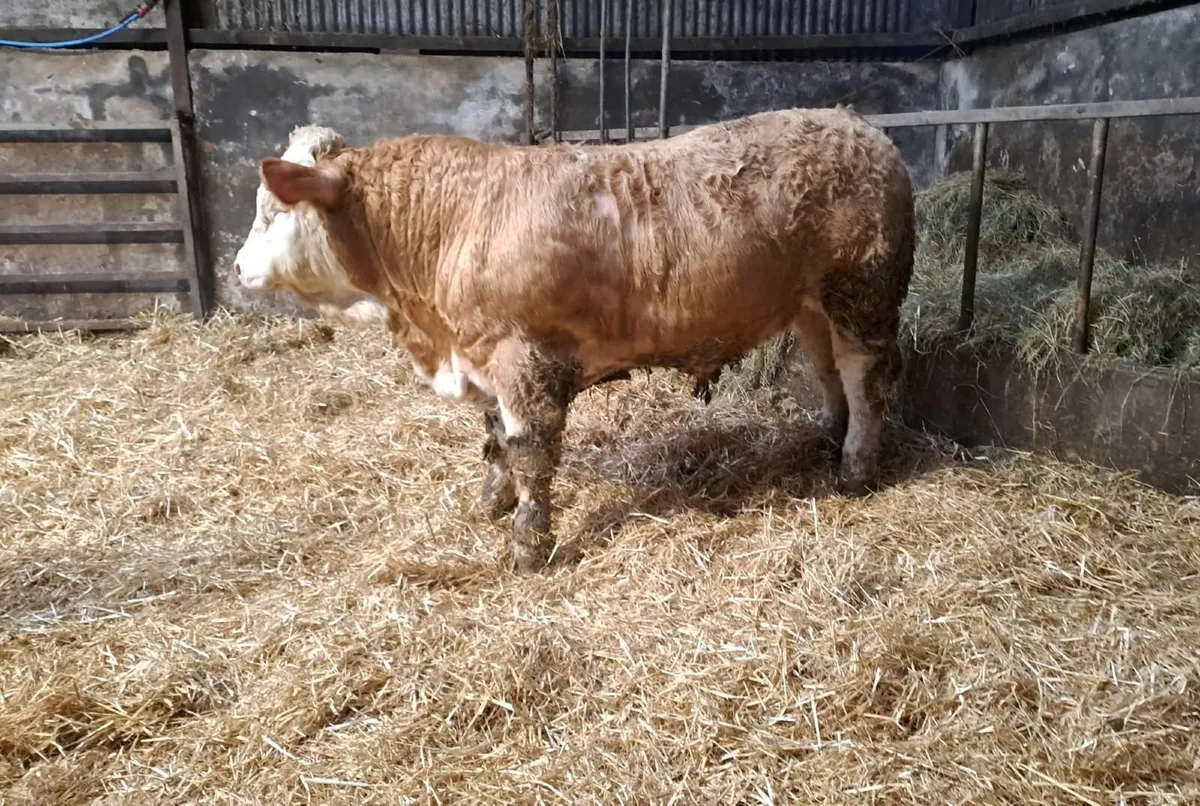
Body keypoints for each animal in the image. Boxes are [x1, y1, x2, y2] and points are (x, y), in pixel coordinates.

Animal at [232, 106, 915, 572]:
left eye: (272, 211)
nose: (237, 268)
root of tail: (857, 125)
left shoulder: (526, 360)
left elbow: (530, 455)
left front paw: (529, 545)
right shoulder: (486, 358)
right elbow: (495, 443)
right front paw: (490, 503)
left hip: (863, 294)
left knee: (868, 378)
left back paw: (855, 469)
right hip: (812, 306)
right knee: (828, 371)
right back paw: (826, 440)